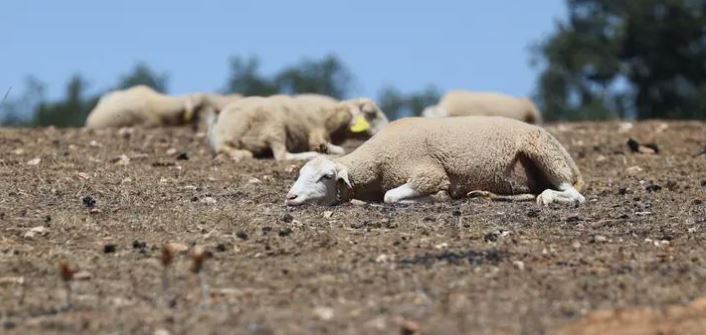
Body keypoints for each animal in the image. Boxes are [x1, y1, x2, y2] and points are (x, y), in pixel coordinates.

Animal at [206, 95, 388, 162]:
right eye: (371, 114)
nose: (387, 128)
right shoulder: (316, 133)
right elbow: (339, 149)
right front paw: (324, 150)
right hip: (274, 126)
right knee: (281, 155)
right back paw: (313, 154)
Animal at [284, 117, 584, 209]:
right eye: (300, 173)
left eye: (325, 176)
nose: (291, 197)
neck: (377, 161)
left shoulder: (429, 173)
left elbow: (391, 196)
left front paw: (438, 197)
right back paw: (484, 194)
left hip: (545, 155)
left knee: (573, 194)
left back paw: (550, 198)